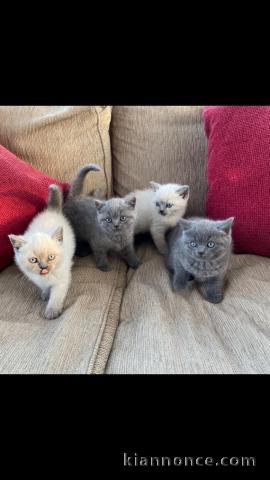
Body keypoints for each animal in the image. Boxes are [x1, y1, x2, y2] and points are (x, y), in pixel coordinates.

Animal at [8, 186, 75, 320]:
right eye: (34, 260)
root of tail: (51, 210)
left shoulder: (61, 280)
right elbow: (44, 287)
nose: (44, 267)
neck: (46, 277)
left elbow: (56, 296)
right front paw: (45, 293)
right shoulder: (36, 278)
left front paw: (52, 311)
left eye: (51, 257)